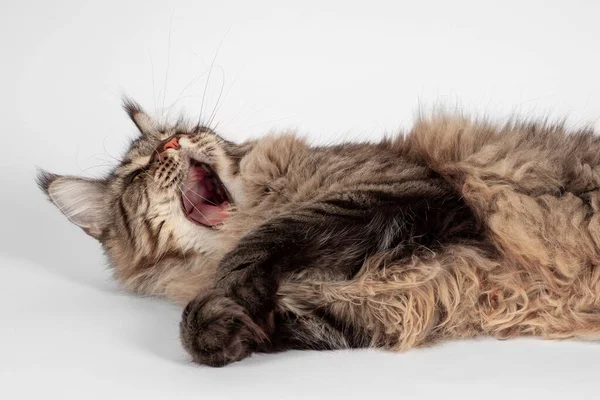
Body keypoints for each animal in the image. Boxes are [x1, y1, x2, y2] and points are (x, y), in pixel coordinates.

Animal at [38, 99, 600, 366]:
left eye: (184, 129)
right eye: (138, 172)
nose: (174, 143)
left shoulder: (408, 190)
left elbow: (264, 240)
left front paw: (220, 301)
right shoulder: (381, 306)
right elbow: (268, 321)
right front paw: (222, 331)